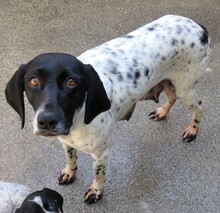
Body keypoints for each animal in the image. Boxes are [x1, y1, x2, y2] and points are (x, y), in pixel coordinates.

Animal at [5, 15, 211, 203]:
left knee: (200, 107)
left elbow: (99, 174)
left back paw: (192, 130)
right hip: (169, 82)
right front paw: (70, 172)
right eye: (33, 81)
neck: (77, 119)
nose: (46, 121)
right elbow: (71, 158)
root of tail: (198, 26)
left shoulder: (101, 153)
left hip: (186, 89)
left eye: (71, 82)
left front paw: (96, 191)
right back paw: (162, 112)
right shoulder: (66, 142)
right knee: (171, 97)